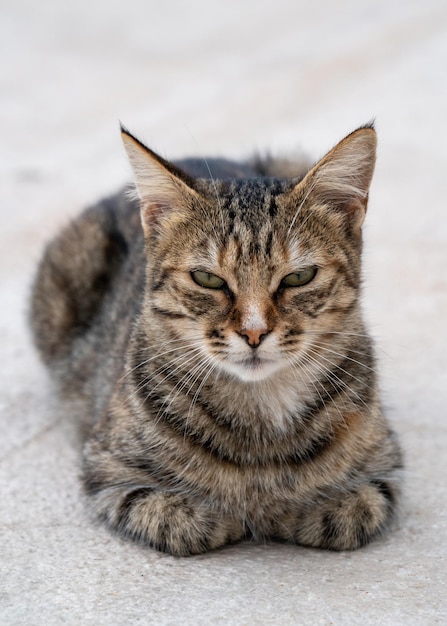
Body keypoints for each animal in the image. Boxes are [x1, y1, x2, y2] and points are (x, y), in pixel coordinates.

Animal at [30, 123, 402, 556]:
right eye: (207, 279)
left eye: (299, 277)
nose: (254, 331)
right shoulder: (107, 470)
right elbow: (180, 520)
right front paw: (238, 514)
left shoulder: (385, 468)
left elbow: (348, 512)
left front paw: (286, 509)